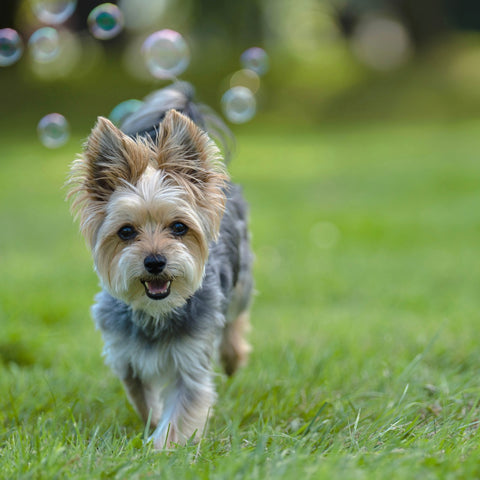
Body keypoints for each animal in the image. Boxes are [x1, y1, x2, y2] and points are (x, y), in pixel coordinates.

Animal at [69, 83, 255, 450]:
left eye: (179, 227)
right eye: (126, 232)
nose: (155, 261)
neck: (156, 313)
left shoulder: (191, 360)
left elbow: (181, 412)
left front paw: (158, 450)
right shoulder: (125, 357)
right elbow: (143, 399)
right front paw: (151, 425)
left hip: (241, 276)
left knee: (236, 317)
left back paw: (233, 356)